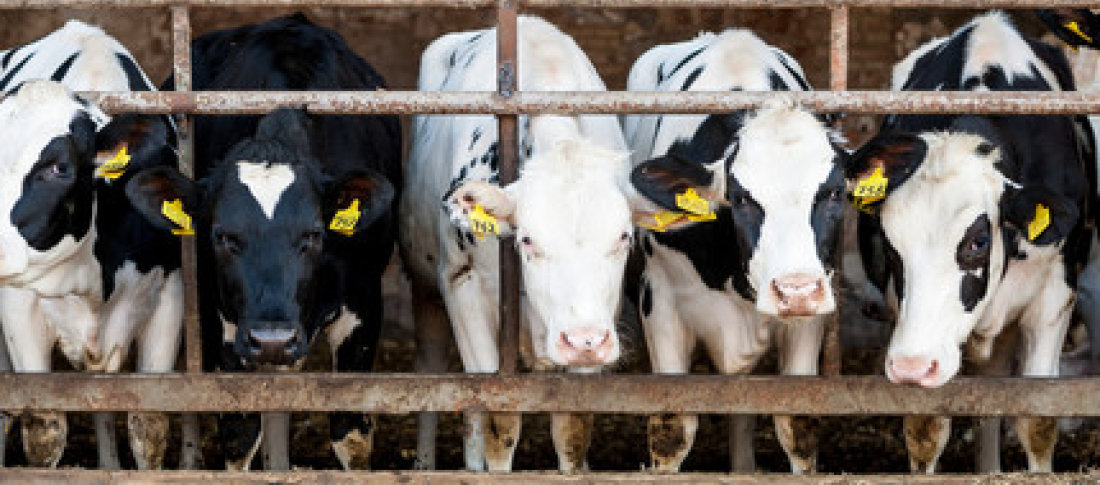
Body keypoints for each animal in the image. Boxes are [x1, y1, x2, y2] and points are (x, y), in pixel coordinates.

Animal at [126, 14, 401, 470]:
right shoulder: (220, 318)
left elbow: (350, 433)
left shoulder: (365, 301)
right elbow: (240, 433)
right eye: (222, 236)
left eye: (313, 234)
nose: (272, 339)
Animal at [400, 16, 640, 471]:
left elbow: (572, 428)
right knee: (435, 372)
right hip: (425, 287)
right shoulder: (463, 285)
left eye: (623, 236)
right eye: (527, 239)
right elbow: (497, 417)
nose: (584, 340)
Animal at [622, 30, 847, 474]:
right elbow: (672, 431)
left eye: (833, 193)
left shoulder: (813, 310)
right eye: (742, 198)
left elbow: (797, 426)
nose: (795, 291)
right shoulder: (659, 299)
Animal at [848, 11, 1092, 473]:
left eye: (978, 242)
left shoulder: (1055, 295)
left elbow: (1037, 418)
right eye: (890, 244)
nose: (912, 367)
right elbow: (926, 431)